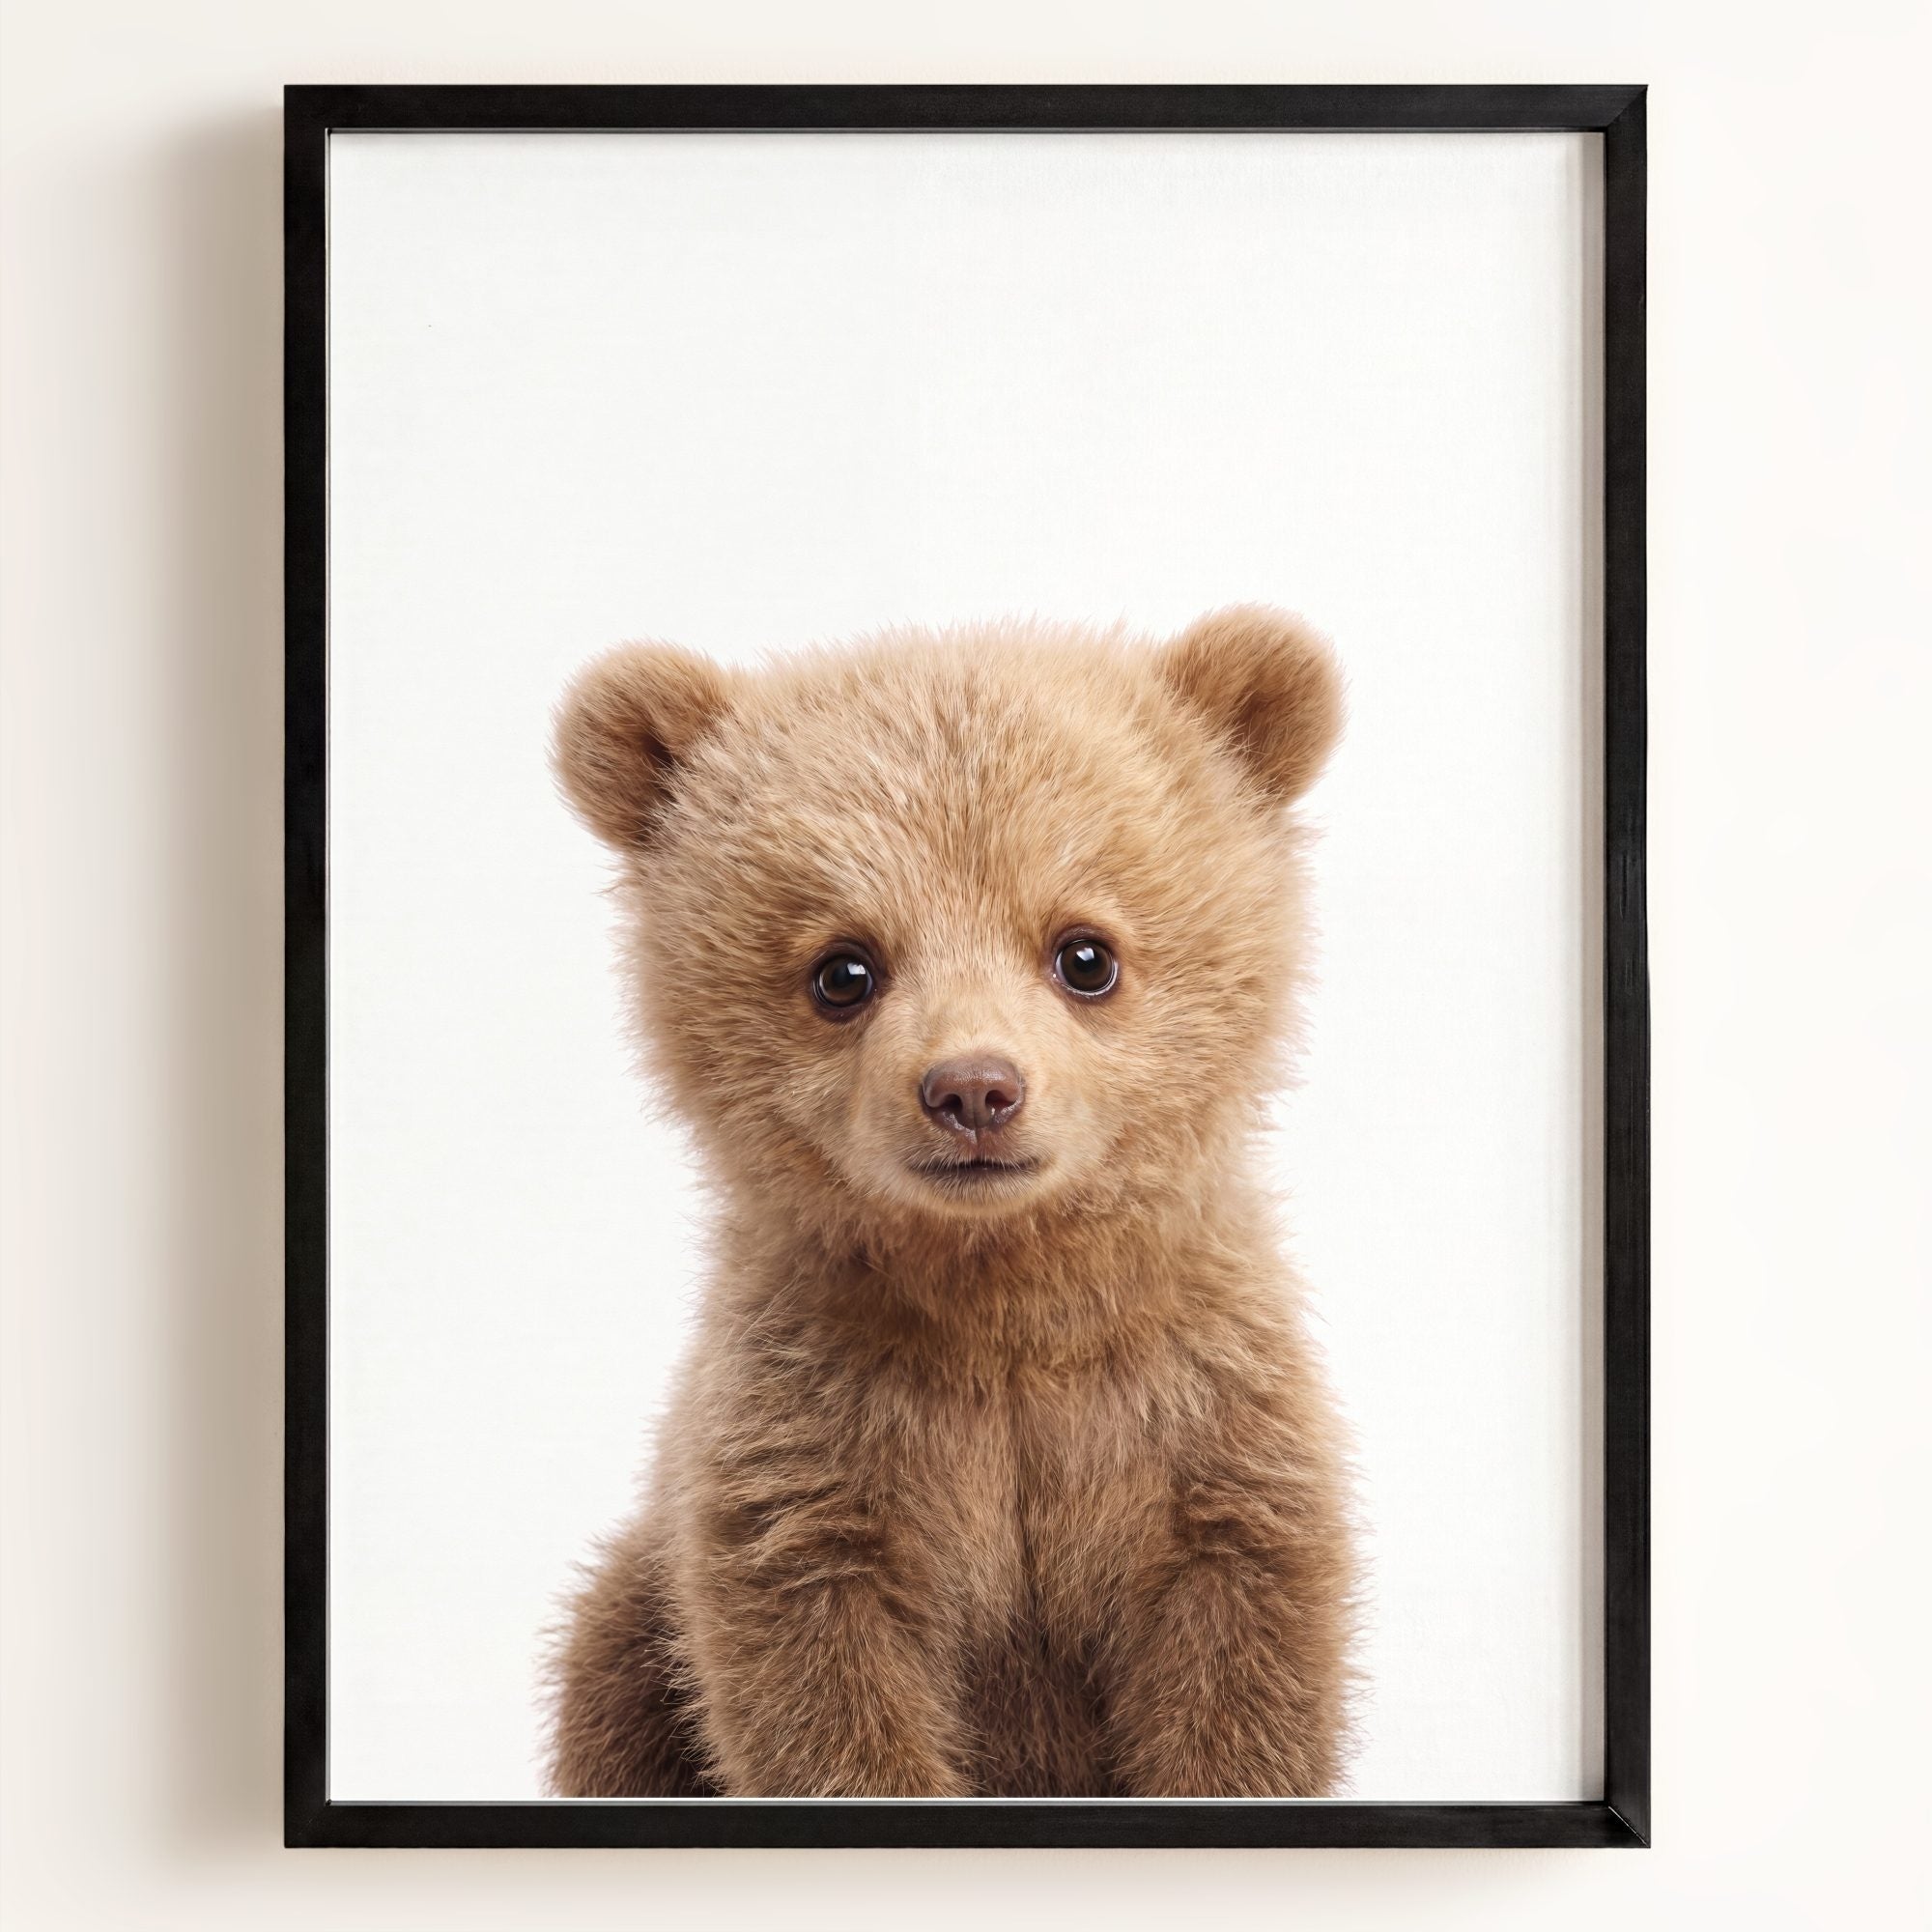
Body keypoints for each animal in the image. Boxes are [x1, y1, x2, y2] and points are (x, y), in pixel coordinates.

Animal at [544, 606, 1356, 1799]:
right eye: (842, 968)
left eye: (1084, 952)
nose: (973, 1088)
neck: (1002, 1300)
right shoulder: (814, 1450)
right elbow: (821, 1692)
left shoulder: (1198, 1427)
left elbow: (1238, 1677)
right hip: (631, 1630)